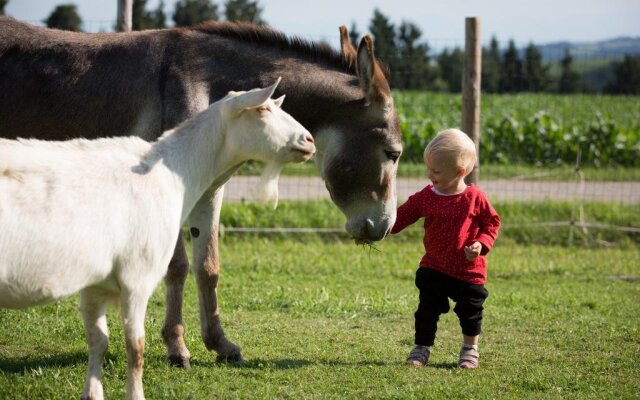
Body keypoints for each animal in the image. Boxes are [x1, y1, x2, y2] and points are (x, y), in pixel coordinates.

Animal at [0, 79, 316, 400]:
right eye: (263, 109)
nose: (309, 140)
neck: (173, 171)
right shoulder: (136, 277)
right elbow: (135, 346)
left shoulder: (93, 282)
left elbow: (98, 341)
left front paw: (92, 393)